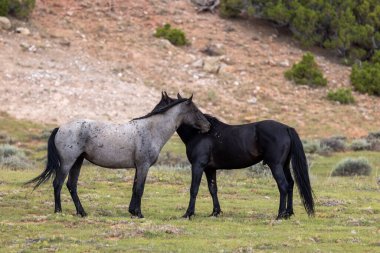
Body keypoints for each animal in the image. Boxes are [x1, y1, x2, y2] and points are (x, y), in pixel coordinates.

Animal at [26, 95, 211, 217]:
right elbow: (140, 189)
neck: (151, 130)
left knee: (71, 185)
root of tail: (60, 127)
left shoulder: (138, 167)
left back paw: (82, 212)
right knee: (58, 184)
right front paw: (139, 214)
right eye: (195, 110)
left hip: (77, 162)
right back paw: (59, 211)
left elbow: (135, 188)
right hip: (67, 163)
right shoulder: (143, 166)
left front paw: (133, 211)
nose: (208, 126)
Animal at [157, 91, 314, 219]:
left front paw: (188, 213)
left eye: (161, 107)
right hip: (284, 165)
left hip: (275, 165)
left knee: (283, 186)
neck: (199, 133)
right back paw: (288, 213)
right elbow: (213, 189)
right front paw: (215, 212)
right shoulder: (210, 169)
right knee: (291, 184)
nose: (152, 116)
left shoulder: (198, 166)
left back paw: (280, 215)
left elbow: (193, 189)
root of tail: (287, 128)